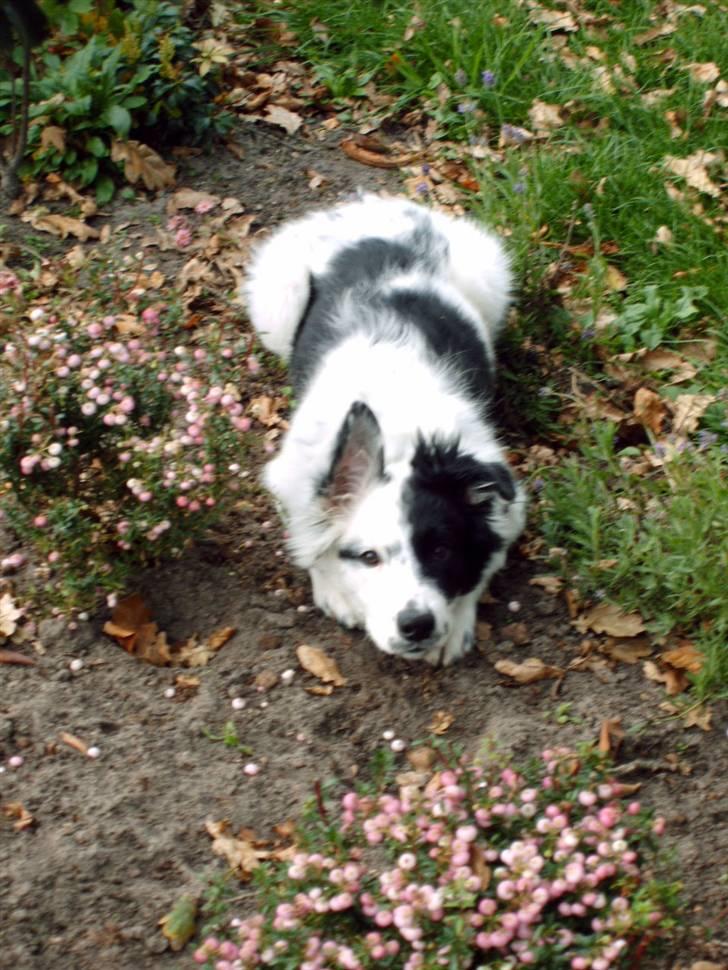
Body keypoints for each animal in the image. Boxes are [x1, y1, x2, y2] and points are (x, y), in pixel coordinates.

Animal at [245, 197, 524, 664]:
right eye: (368, 558)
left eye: (441, 550)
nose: (417, 625)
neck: (398, 440)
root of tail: (373, 204)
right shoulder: (291, 476)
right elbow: (309, 534)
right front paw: (334, 589)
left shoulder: (507, 496)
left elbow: (488, 559)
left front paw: (455, 625)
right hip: (277, 302)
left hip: (491, 277)